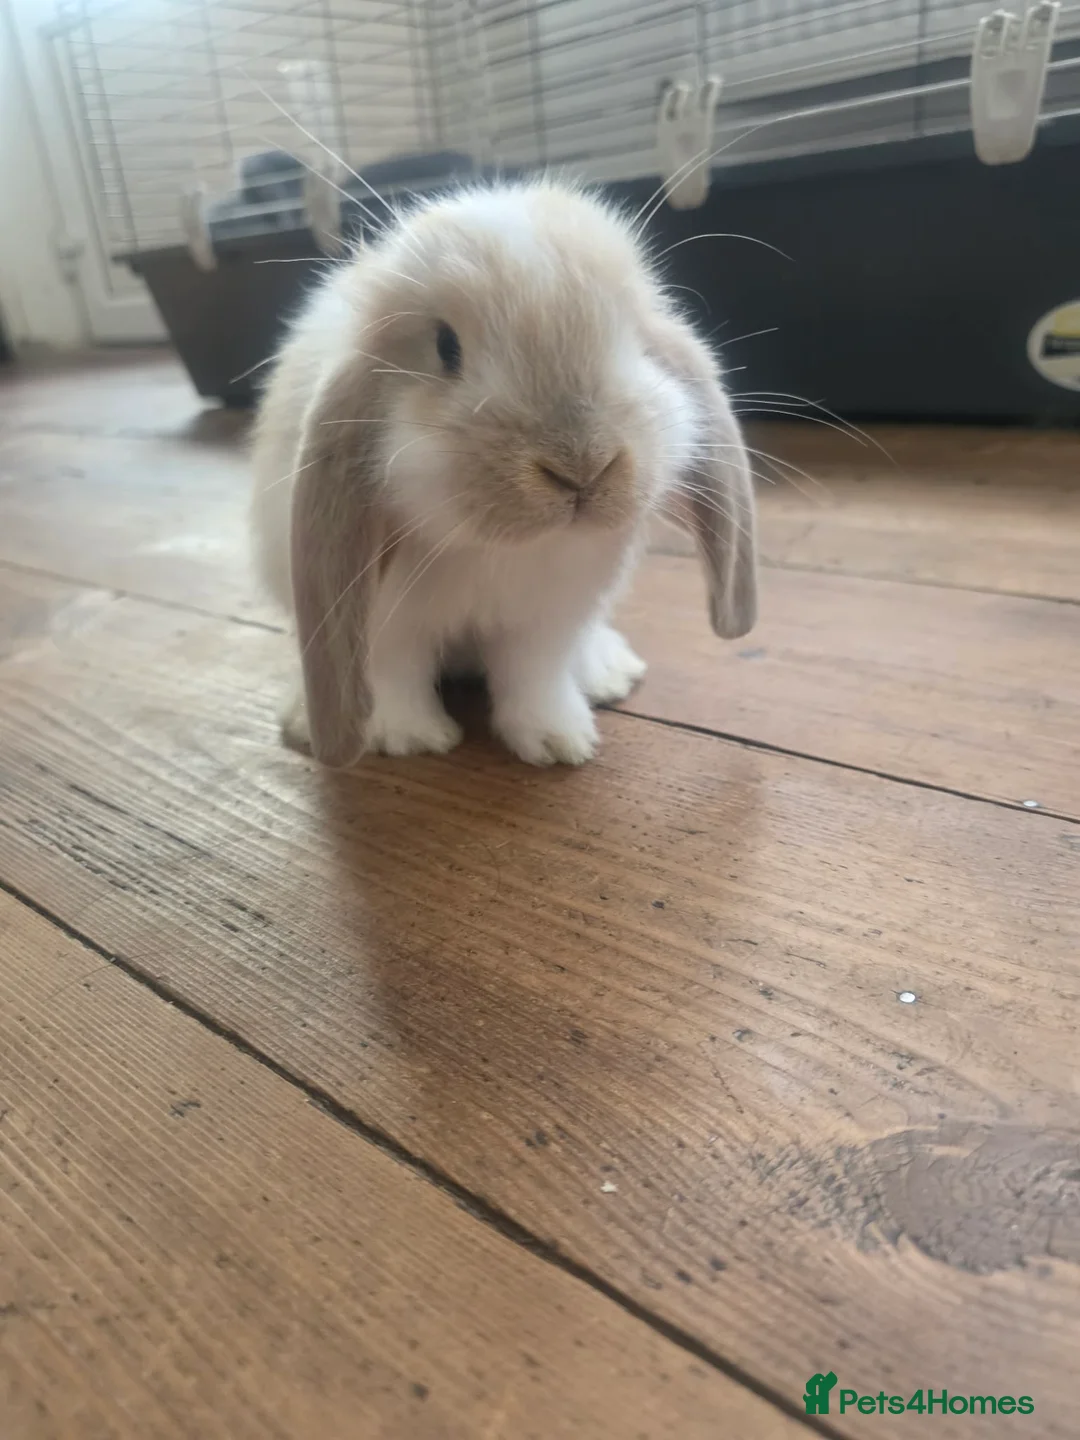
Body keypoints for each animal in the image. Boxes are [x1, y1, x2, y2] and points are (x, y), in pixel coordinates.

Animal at [250, 179, 757, 769]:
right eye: (446, 347)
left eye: (636, 340)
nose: (582, 466)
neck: (492, 549)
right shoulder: (385, 623)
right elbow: (393, 672)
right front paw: (409, 739)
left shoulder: (545, 621)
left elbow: (533, 678)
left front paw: (559, 744)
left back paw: (606, 674)